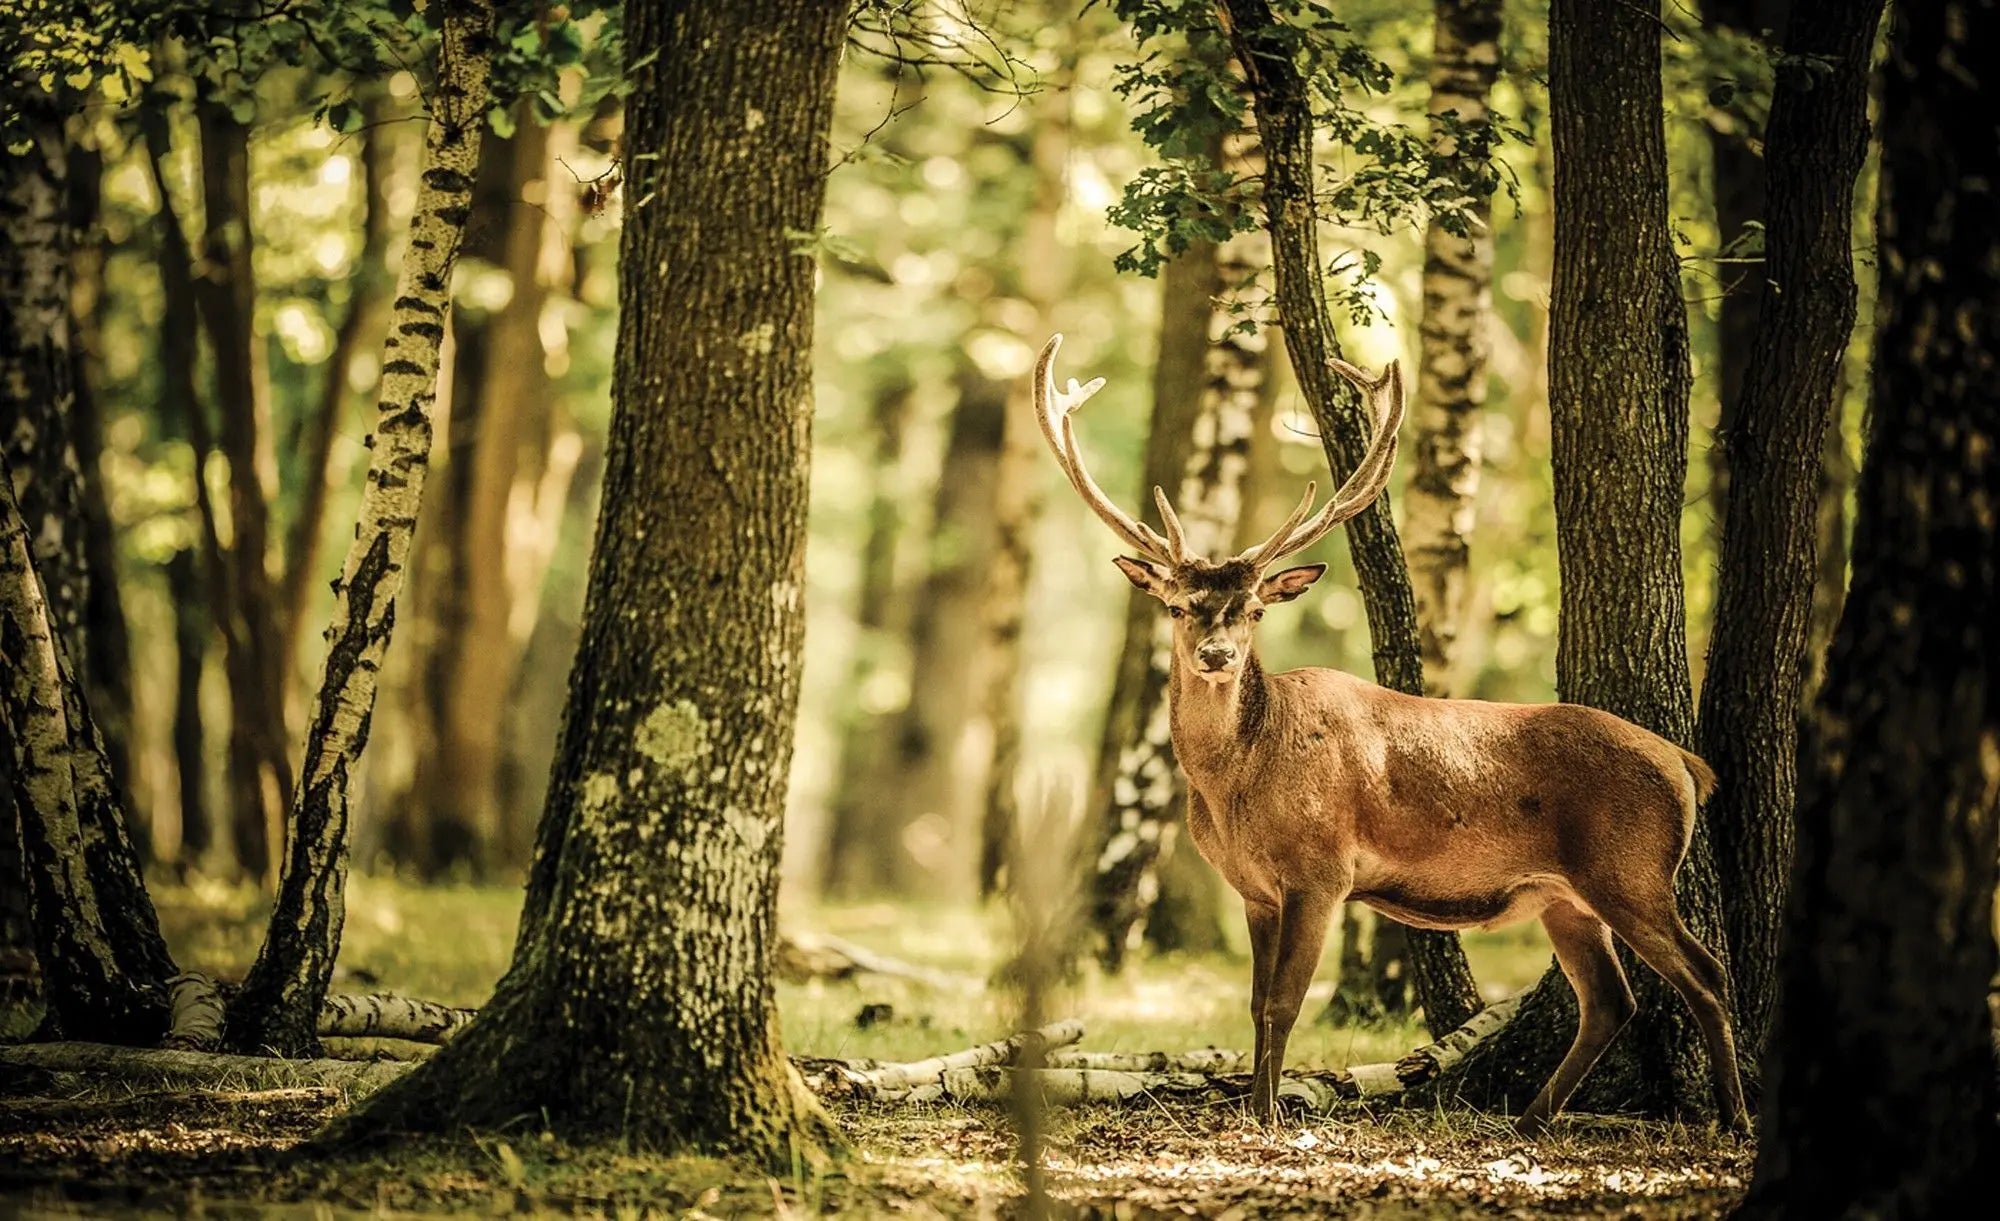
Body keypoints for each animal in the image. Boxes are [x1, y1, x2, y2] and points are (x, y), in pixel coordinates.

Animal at [1040, 332, 1744, 1128]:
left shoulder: (1321, 869)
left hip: (1632, 868)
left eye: (1255, 609)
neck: (1237, 782)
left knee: (1706, 972)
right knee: (1611, 998)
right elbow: (1254, 1005)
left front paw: (1269, 1115)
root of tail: (1686, 762)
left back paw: (1731, 1115)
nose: (1217, 655)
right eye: (1178, 604)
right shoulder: (1255, 890)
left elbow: (1282, 1005)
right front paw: (1255, 1106)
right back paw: (1534, 1117)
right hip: (1566, 894)